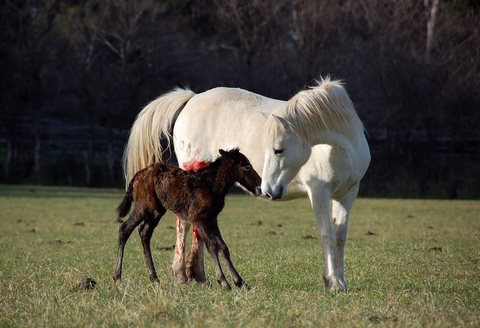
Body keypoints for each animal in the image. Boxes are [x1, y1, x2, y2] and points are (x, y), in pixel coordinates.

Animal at [122, 77, 370, 292]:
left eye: (278, 149)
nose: (267, 190)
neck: (340, 149)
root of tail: (192, 99)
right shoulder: (319, 191)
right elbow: (327, 235)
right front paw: (331, 282)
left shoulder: (348, 193)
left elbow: (340, 236)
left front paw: (341, 282)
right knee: (183, 223)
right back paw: (182, 275)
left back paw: (199, 276)